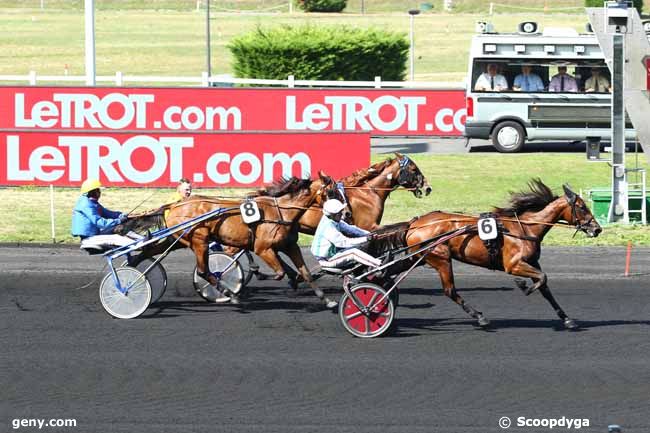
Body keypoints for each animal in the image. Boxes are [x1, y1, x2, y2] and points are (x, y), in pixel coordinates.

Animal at [368, 181, 600, 330]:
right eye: (581, 207)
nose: (597, 229)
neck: (525, 228)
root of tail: (415, 223)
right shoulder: (514, 265)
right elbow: (541, 279)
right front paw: (523, 286)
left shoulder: (532, 262)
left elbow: (545, 288)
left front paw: (567, 319)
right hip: (440, 258)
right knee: (450, 291)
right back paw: (480, 317)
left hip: (418, 257)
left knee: (388, 272)